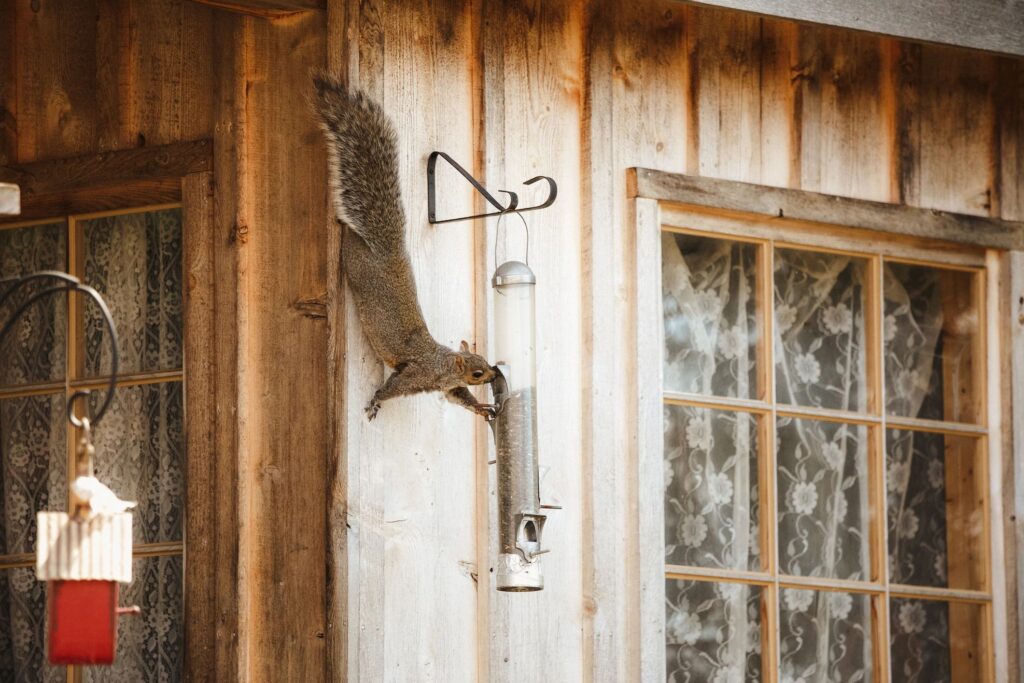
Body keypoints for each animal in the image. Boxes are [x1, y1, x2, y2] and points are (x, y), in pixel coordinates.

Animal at [312, 74, 498, 421]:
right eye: (477, 372)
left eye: (486, 362)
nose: (494, 374)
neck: (442, 363)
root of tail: (389, 249)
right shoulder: (417, 375)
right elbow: (392, 388)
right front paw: (376, 401)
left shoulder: (449, 387)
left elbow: (459, 398)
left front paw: (481, 407)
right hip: (357, 264)